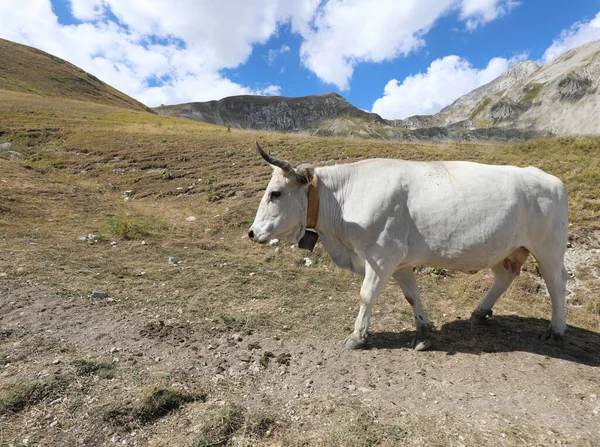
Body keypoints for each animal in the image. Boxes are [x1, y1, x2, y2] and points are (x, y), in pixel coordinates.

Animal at [247, 143, 568, 350]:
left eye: (275, 193)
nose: (251, 233)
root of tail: (548, 177)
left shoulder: (381, 255)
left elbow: (366, 296)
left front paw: (357, 337)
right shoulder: (399, 261)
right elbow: (412, 296)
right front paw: (424, 330)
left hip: (549, 248)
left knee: (557, 284)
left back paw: (556, 330)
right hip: (505, 249)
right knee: (504, 276)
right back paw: (478, 313)